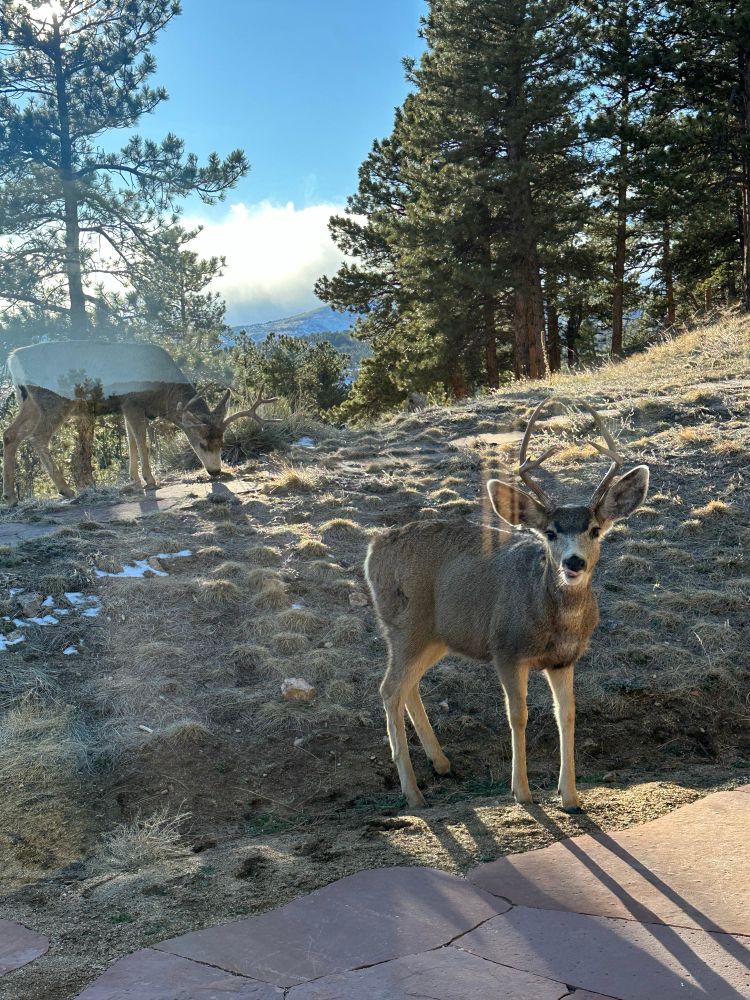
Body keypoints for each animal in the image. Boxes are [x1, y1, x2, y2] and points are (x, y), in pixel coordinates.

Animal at [2, 340, 276, 506]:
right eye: (200, 443)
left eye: (222, 441)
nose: (215, 471)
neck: (162, 393)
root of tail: (12, 359)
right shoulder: (134, 402)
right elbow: (142, 442)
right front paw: (150, 479)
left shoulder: (126, 407)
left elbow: (131, 441)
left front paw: (133, 480)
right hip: (54, 399)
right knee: (37, 437)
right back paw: (66, 490)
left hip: (29, 401)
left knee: (10, 434)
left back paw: (11, 497)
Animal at [365, 398, 649, 812]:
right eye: (551, 533)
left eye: (595, 530)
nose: (573, 562)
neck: (552, 620)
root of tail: (372, 549)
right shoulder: (506, 649)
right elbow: (518, 715)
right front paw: (522, 792)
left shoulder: (564, 660)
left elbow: (567, 715)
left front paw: (571, 796)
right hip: (405, 626)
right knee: (389, 689)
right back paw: (413, 793)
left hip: (436, 636)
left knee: (408, 686)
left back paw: (442, 764)